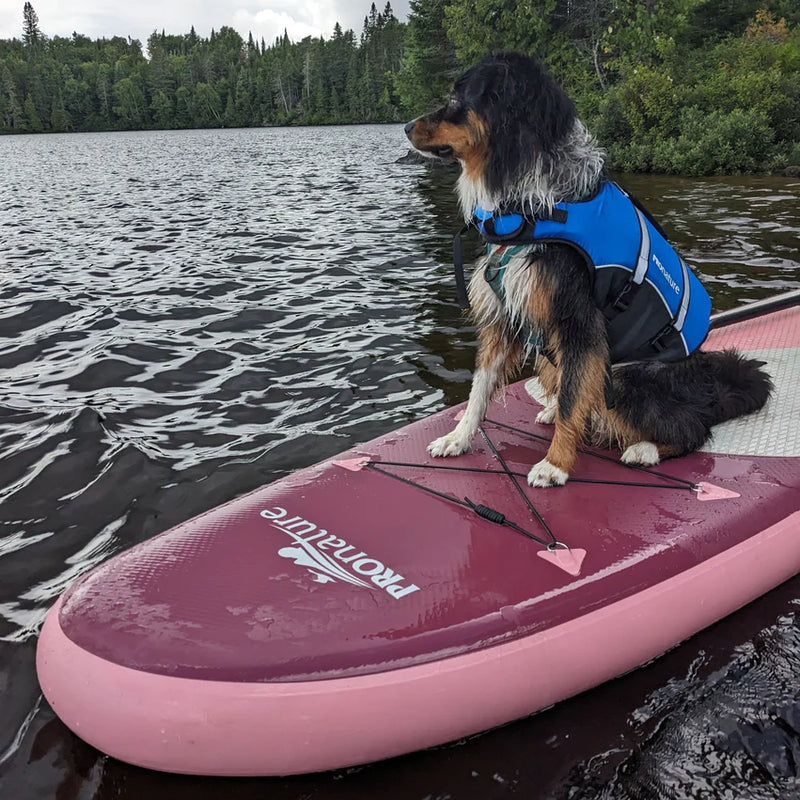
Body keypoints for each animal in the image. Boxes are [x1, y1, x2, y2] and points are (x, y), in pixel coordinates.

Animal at [404, 51, 772, 488]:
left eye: (458, 99)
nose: (405, 126)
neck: (531, 204)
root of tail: (710, 389)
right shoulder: (504, 311)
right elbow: (480, 387)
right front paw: (458, 438)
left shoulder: (579, 322)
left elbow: (570, 401)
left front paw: (556, 465)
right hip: (551, 358)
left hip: (629, 376)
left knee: (692, 427)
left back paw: (644, 448)